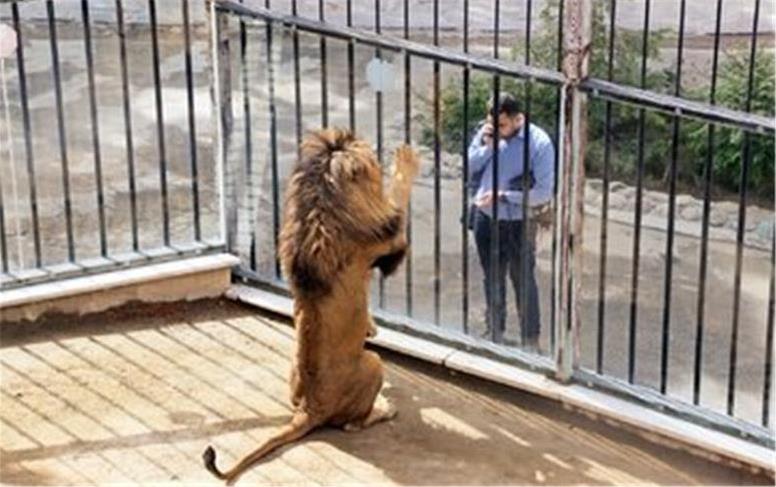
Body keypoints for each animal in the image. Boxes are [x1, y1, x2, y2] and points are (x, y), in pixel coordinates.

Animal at [200, 129, 418, 484]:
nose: (378, 151)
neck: (321, 203)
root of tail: (309, 409)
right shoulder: (387, 240)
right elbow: (398, 198)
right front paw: (405, 160)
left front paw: (371, 326)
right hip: (373, 363)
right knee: (352, 424)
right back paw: (384, 409)